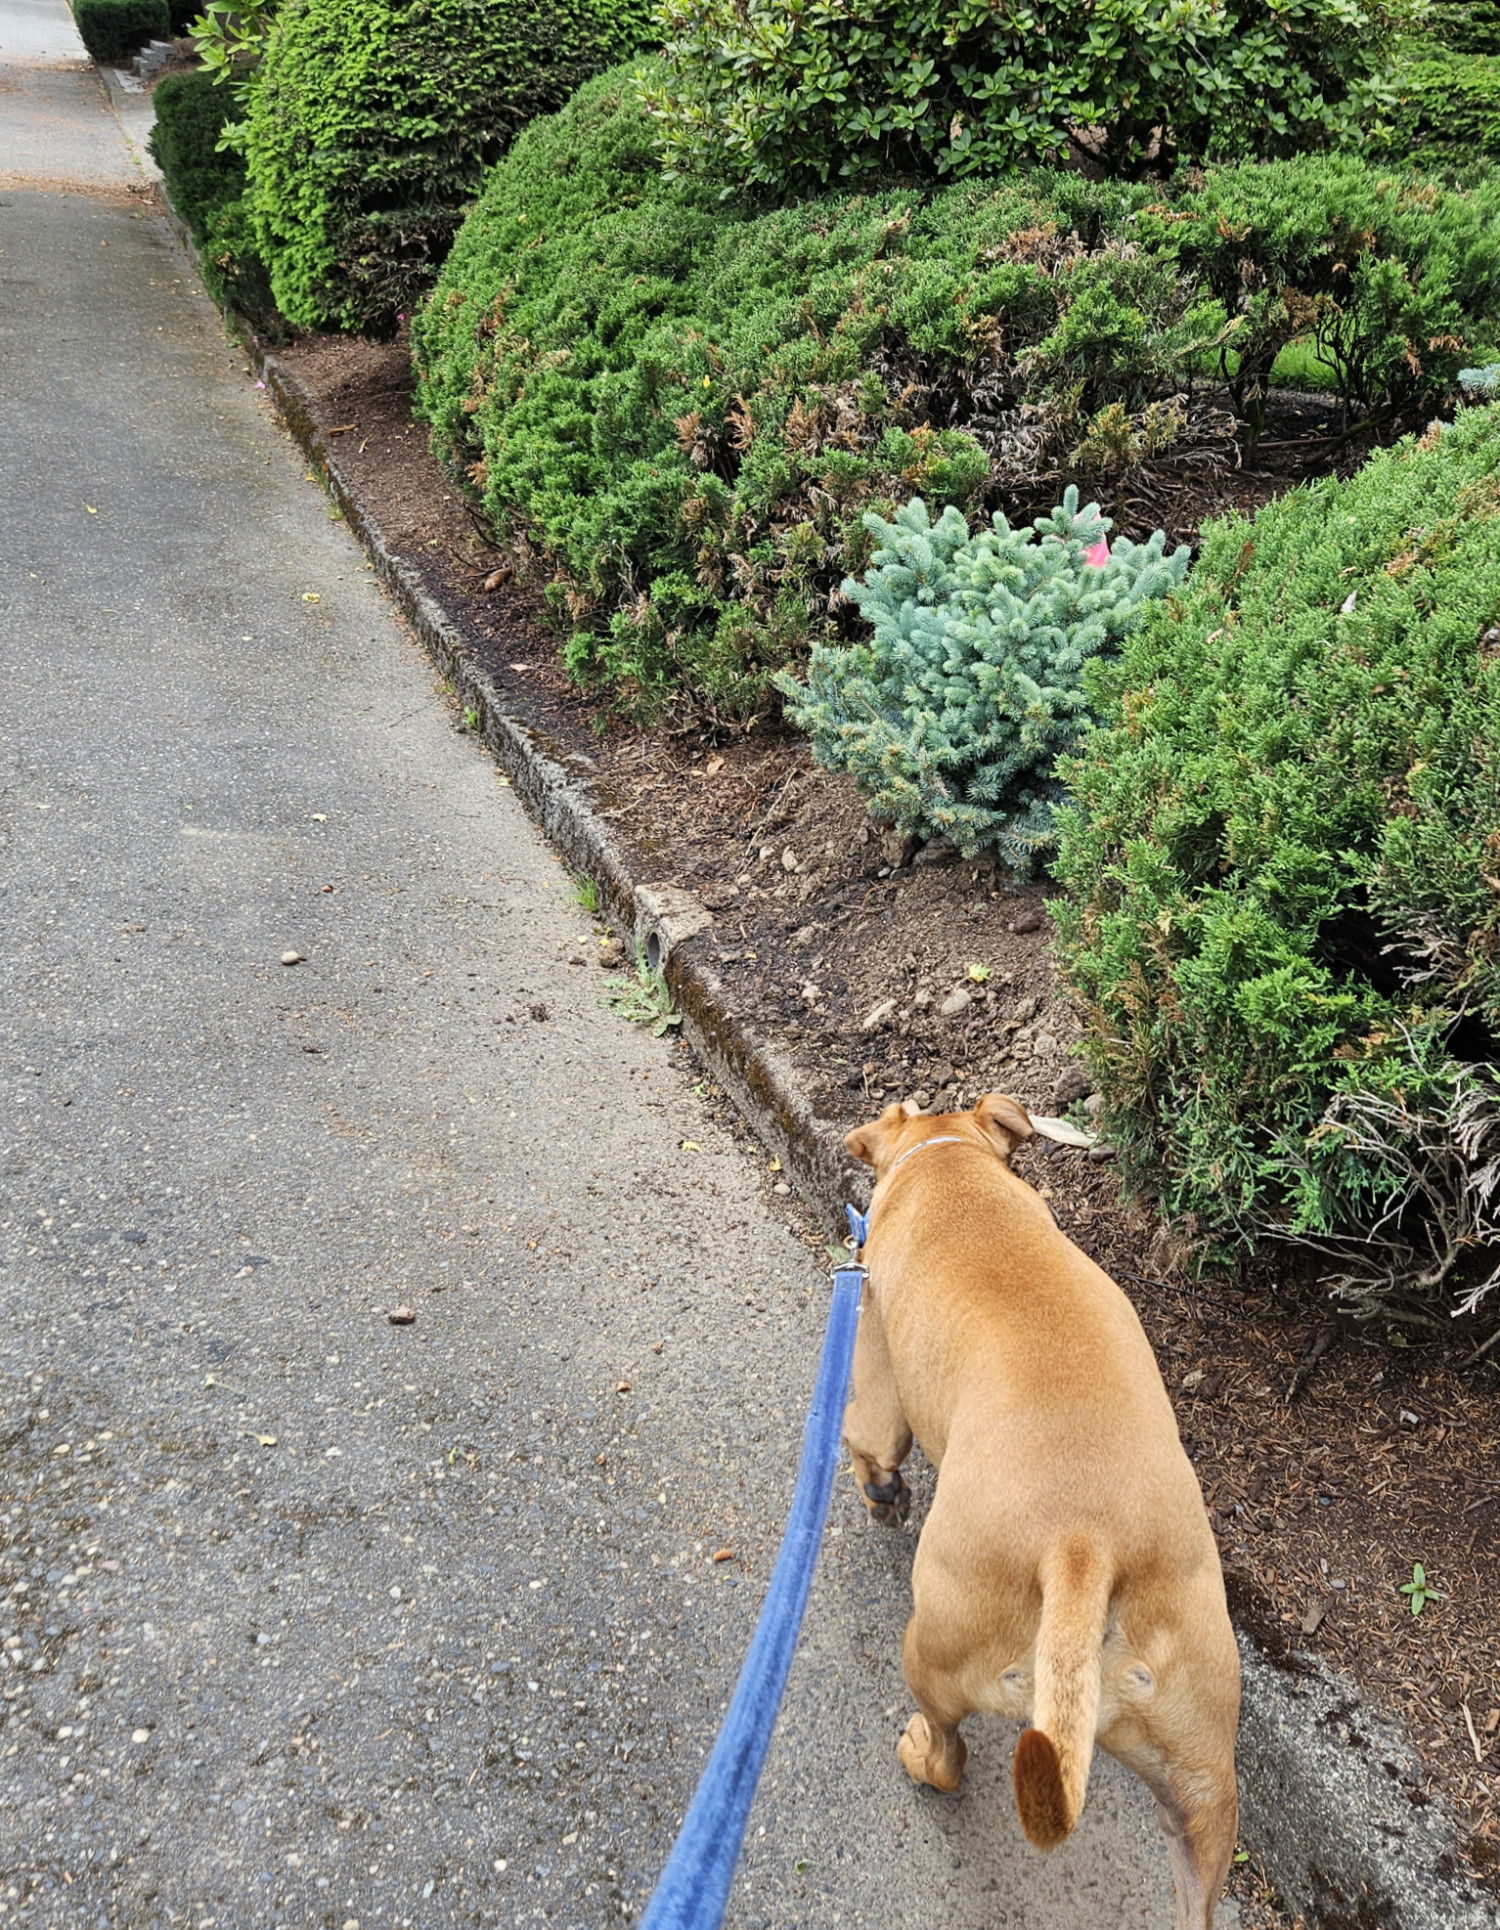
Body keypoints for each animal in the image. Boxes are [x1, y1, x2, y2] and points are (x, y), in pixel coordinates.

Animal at [841, 1096, 1243, 1922]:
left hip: (932, 1648)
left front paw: (882, 1495)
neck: (946, 1160)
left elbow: (868, 1440)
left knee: (951, 1752)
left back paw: (920, 1756)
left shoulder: (876, 1360)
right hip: (1198, 1769)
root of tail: (1083, 1546)